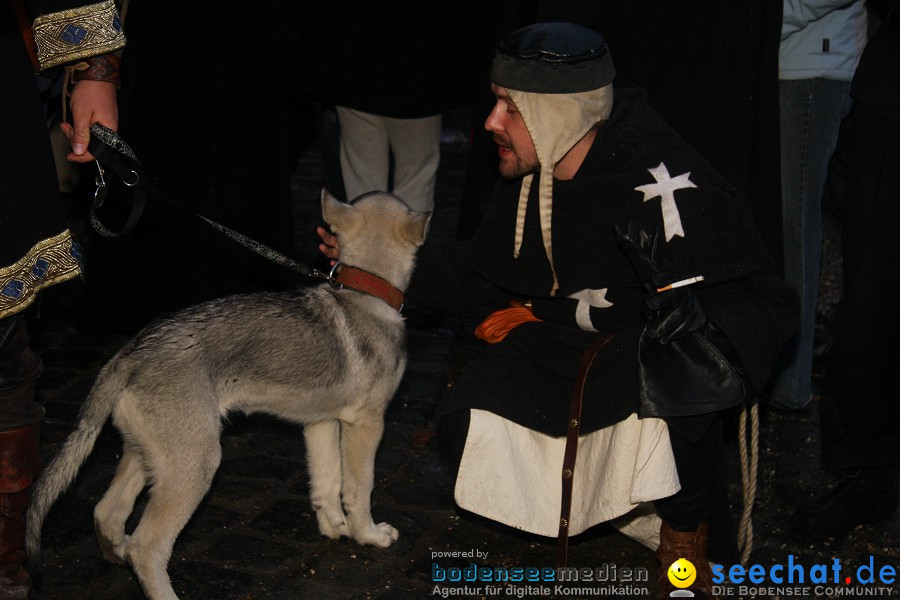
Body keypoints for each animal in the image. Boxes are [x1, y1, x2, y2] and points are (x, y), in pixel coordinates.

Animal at [22, 191, 428, 600]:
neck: (365, 295)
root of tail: (129, 354)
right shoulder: (367, 424)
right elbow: (359, 488)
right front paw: (368, 535)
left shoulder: (320, 422)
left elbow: (326, 483)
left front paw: (335, 528)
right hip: (195, 465)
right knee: (146, 545)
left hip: (149, 457)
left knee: (108, 513)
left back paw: (118, 556)